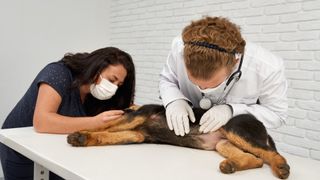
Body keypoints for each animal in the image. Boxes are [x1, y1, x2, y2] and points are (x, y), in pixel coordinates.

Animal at [67, 104, 290, 179]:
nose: (125, 109)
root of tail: (262, 127)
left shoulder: (139, 115)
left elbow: (106, 126)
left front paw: (83, 132)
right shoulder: (137, 135)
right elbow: (109, 134)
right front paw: (82, 137)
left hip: (235, 130)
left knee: (270, 154)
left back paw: (281, 167)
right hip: (224, 143)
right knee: (257, 159)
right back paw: (231, 165)